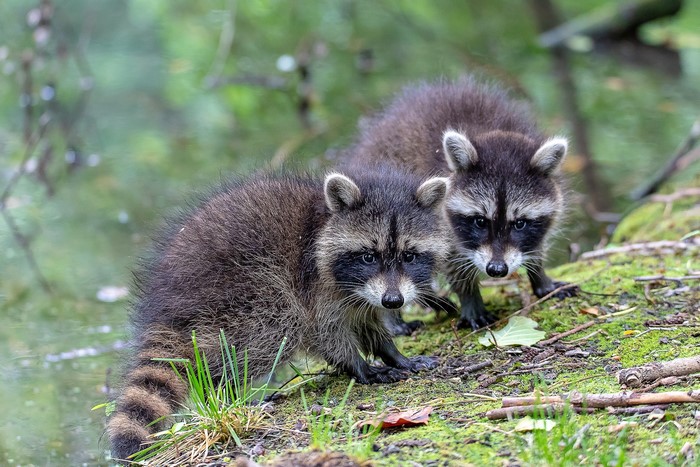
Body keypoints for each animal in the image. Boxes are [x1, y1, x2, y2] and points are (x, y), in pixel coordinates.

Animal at [106, 168, 450, 461]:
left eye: (409, 256)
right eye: (368, 256)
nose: (394, 301)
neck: (323, 223)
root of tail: (163, 308)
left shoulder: (364, 297)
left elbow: (370, 324)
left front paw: (394, 354)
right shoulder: (315, 285)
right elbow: (326, 331)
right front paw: (358, 365)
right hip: (236, 292)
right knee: (274, 322)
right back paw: (227, 390)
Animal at [344, 78, 576, 330]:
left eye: (520, 223)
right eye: (480, 221)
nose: (497, 270)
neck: (486, 132)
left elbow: (535, 245)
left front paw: (540, 277)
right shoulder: (439, 219)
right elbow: (454, 264)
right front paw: (470, 299)